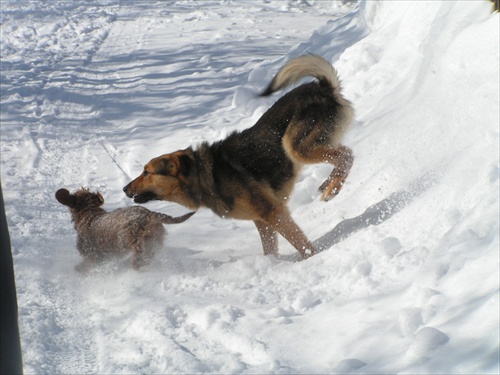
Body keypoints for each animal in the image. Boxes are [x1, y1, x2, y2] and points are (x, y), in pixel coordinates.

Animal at [56, 189, 193, 272]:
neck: (90, 213)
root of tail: (150, 214)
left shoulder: (93, 255)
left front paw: (80, 269)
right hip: (155, 239)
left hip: (127, 238)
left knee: (138, 252)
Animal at [123, 55, 354, 260]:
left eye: (146, 172)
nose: (124, 189)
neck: (204, 176)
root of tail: (323, 88)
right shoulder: (262, 221)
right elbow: (270, 249)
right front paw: (271, 264)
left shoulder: (273, 212)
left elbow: (301, 244)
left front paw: (312, 257)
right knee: (343, 155)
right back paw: (327, 185)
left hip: (295, 147)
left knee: (347, 155)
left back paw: (332, 189)